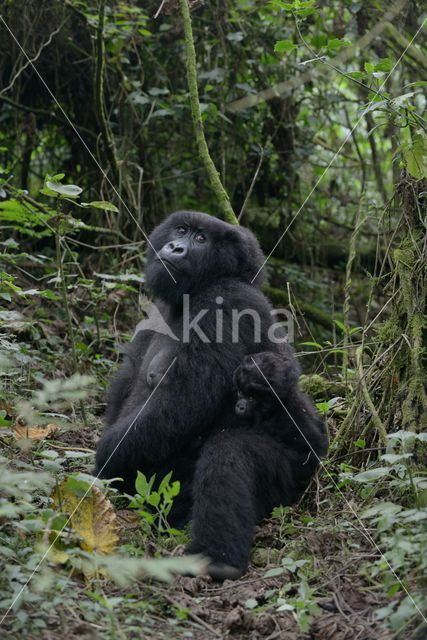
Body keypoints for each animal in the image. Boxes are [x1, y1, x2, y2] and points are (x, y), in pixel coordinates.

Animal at [234, 350, 328, 504]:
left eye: (252, 398)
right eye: (241, 393)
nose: (239, 406)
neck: (276, 407)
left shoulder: (288, 418)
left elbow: (309, 452)